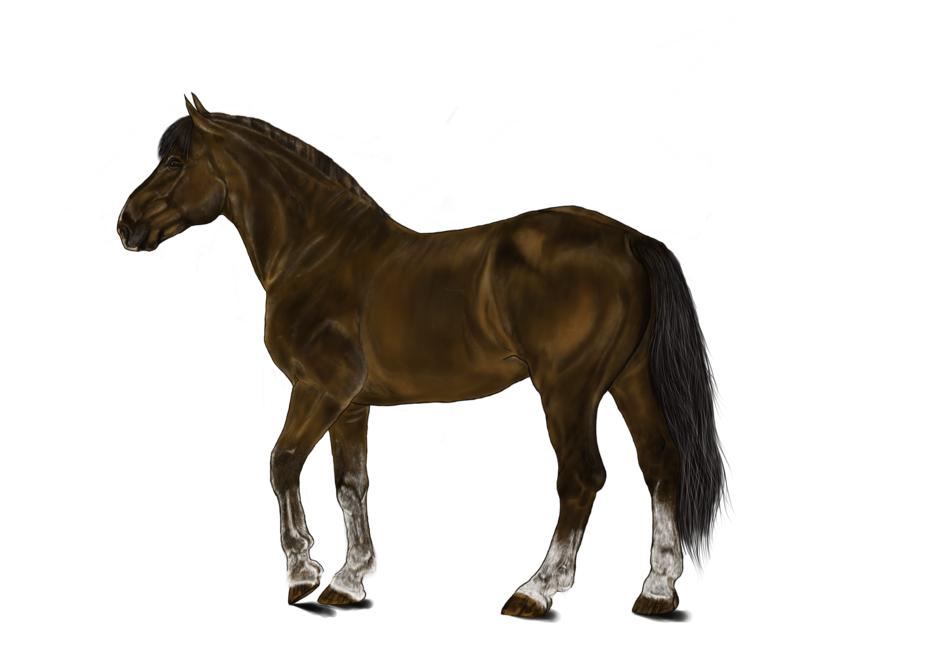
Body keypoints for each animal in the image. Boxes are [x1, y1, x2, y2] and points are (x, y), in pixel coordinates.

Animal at [116, 95, 725, 618]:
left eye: (175, 160)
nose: (126, 225)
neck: (317, 251)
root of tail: (629, 240)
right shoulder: (352, 405)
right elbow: (351, 485)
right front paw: (348, 581)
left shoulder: (318, 389)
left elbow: (282, 462)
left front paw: (301, 574)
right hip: (628, 380)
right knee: (660, 463)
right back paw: (656, 591)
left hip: (568, 393)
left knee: (581, 479)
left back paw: (536, 590)